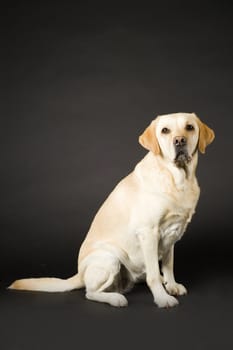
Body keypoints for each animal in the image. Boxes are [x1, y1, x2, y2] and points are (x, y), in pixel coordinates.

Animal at [9, 113, 215, 308]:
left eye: (189, 127)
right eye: (165, 130)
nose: (179, 140)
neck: (176, 179)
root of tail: (79, 274)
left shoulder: (171, 235)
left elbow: (168, 265)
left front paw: (171, 285)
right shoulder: (149, 232)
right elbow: (154, 275)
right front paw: (162, 298)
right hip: (110, 258)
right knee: (91, 292)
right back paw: (116, 299)